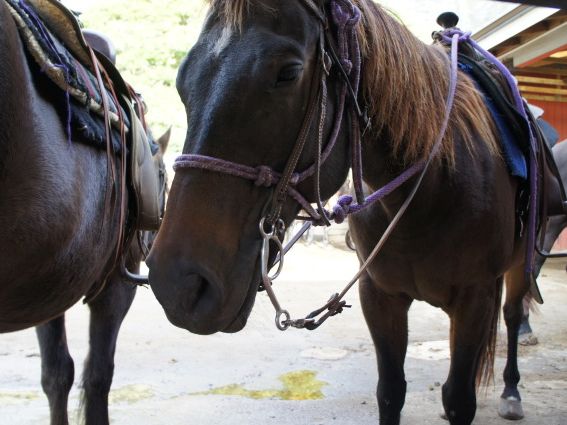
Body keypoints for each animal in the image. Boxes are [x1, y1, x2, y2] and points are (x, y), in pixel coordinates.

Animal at [148, 1, 537, 424]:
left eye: (288, 73)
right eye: (184, 80)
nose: (179, 284)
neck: (429, 193)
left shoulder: (474, 300)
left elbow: (458, 399)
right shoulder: (379, 295)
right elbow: (390, 392)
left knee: (513, 316)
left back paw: (513, 391)